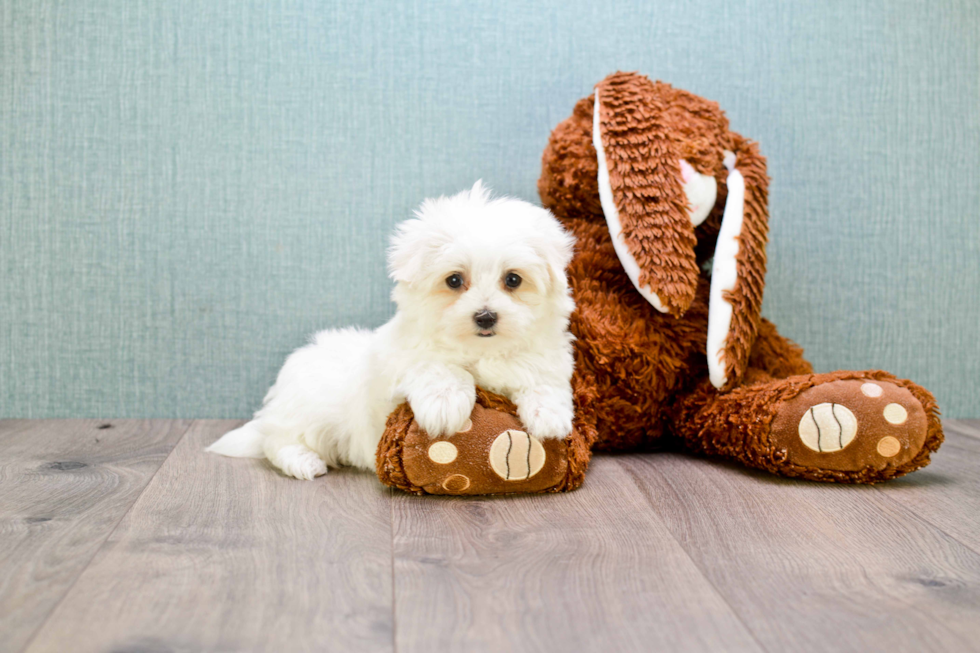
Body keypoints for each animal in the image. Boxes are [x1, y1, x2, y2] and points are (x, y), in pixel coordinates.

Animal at [207, 181, 576, 482]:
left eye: (513, 279)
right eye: (454, 280)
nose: (485, 316)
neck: (481, 352)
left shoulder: (545, 358)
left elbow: (541, 378)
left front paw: (550, 416)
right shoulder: (399, 368)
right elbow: (438, 367)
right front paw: (445, 405)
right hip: (307, 411)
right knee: (279, 442)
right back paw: (303, 462)